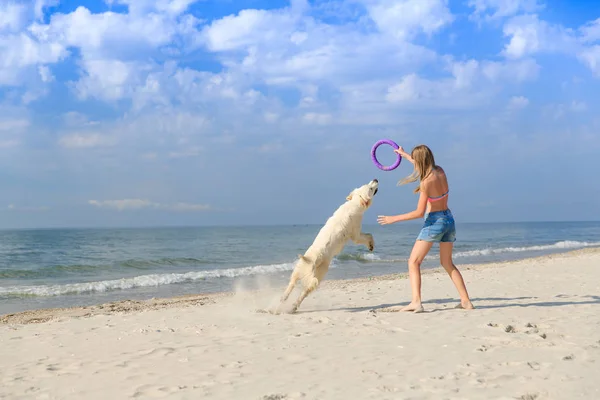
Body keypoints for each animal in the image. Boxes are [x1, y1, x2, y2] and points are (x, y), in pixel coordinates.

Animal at [274, 180, 378, 314]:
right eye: (370, 188)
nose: (375, 179)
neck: (354, 202)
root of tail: (313, 260)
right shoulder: (355, 234)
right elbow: (369, 235)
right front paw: (371, 245)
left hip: (300, 270)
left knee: (292, 285)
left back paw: (284, 302)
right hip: (318, 276)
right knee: (304, 292)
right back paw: (292, 306)